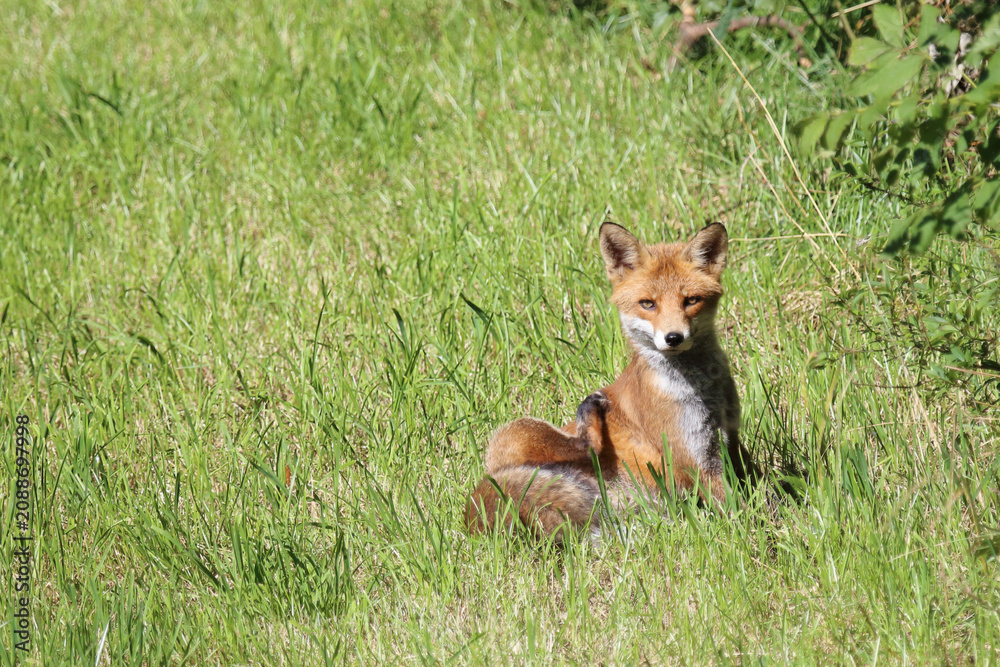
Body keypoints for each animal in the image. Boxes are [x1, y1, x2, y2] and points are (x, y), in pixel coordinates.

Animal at [465, 221, 757, 542]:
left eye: (690, 300)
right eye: (648, 304)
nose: (673, 338)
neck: (703, 392)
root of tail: (478, 509)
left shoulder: (729, 438)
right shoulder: (694, 459)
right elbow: (741, 510)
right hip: (516, 430)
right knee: (585, 446)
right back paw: (588, 409)